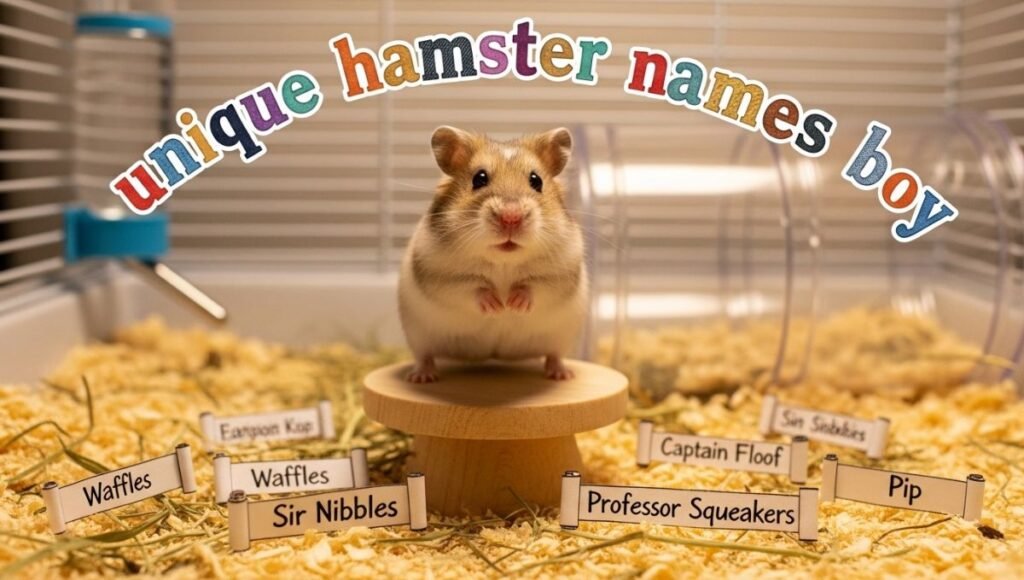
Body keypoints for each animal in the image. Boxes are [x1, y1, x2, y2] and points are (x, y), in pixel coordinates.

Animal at [398, 126, 588, 383]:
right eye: (479, 178)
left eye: (536, 180)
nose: (511, 217)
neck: (503, 261)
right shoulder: (442, 276)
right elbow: (471, 287)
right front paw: (497, 306)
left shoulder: (559, 275)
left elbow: (534, 286)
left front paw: (513, 304)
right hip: (418, 336)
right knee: (424, 356)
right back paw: (422, 377)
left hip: (561, 337)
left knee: (554, 355)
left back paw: (562, 374)